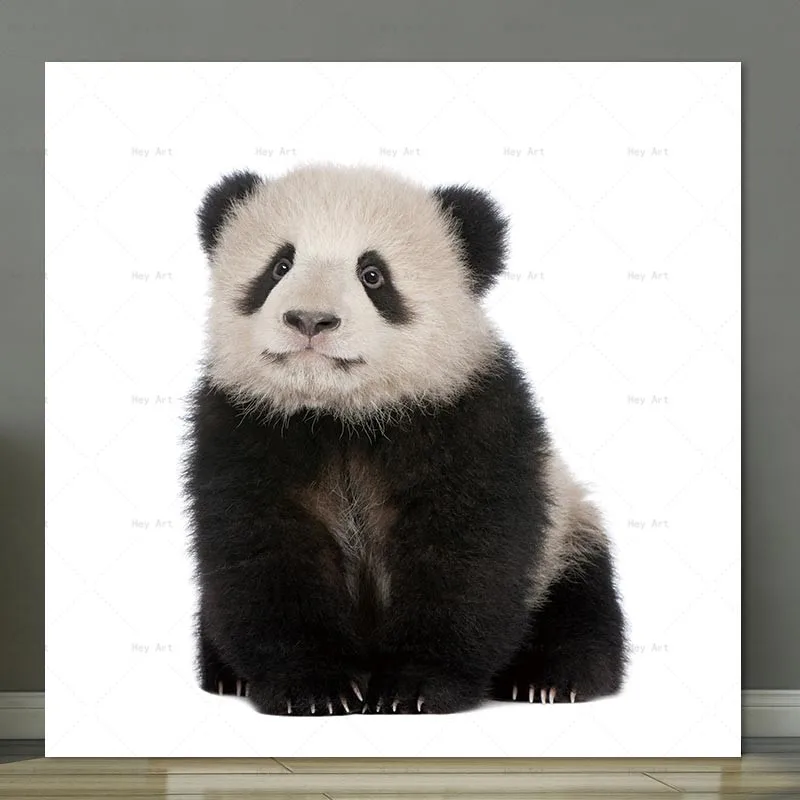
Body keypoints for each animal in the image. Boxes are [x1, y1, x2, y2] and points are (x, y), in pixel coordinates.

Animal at [183, 163, 627, 716]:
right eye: (279, 267)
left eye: (372, 275)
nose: (310, 320)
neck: (341, 412)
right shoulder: (244, 425)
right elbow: (262, 550)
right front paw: (313, 685)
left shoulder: (468, 413)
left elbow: (464, 551)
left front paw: (416, 685)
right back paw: (227, 676)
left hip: (566, 532)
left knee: (579, 600)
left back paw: (551, 678)